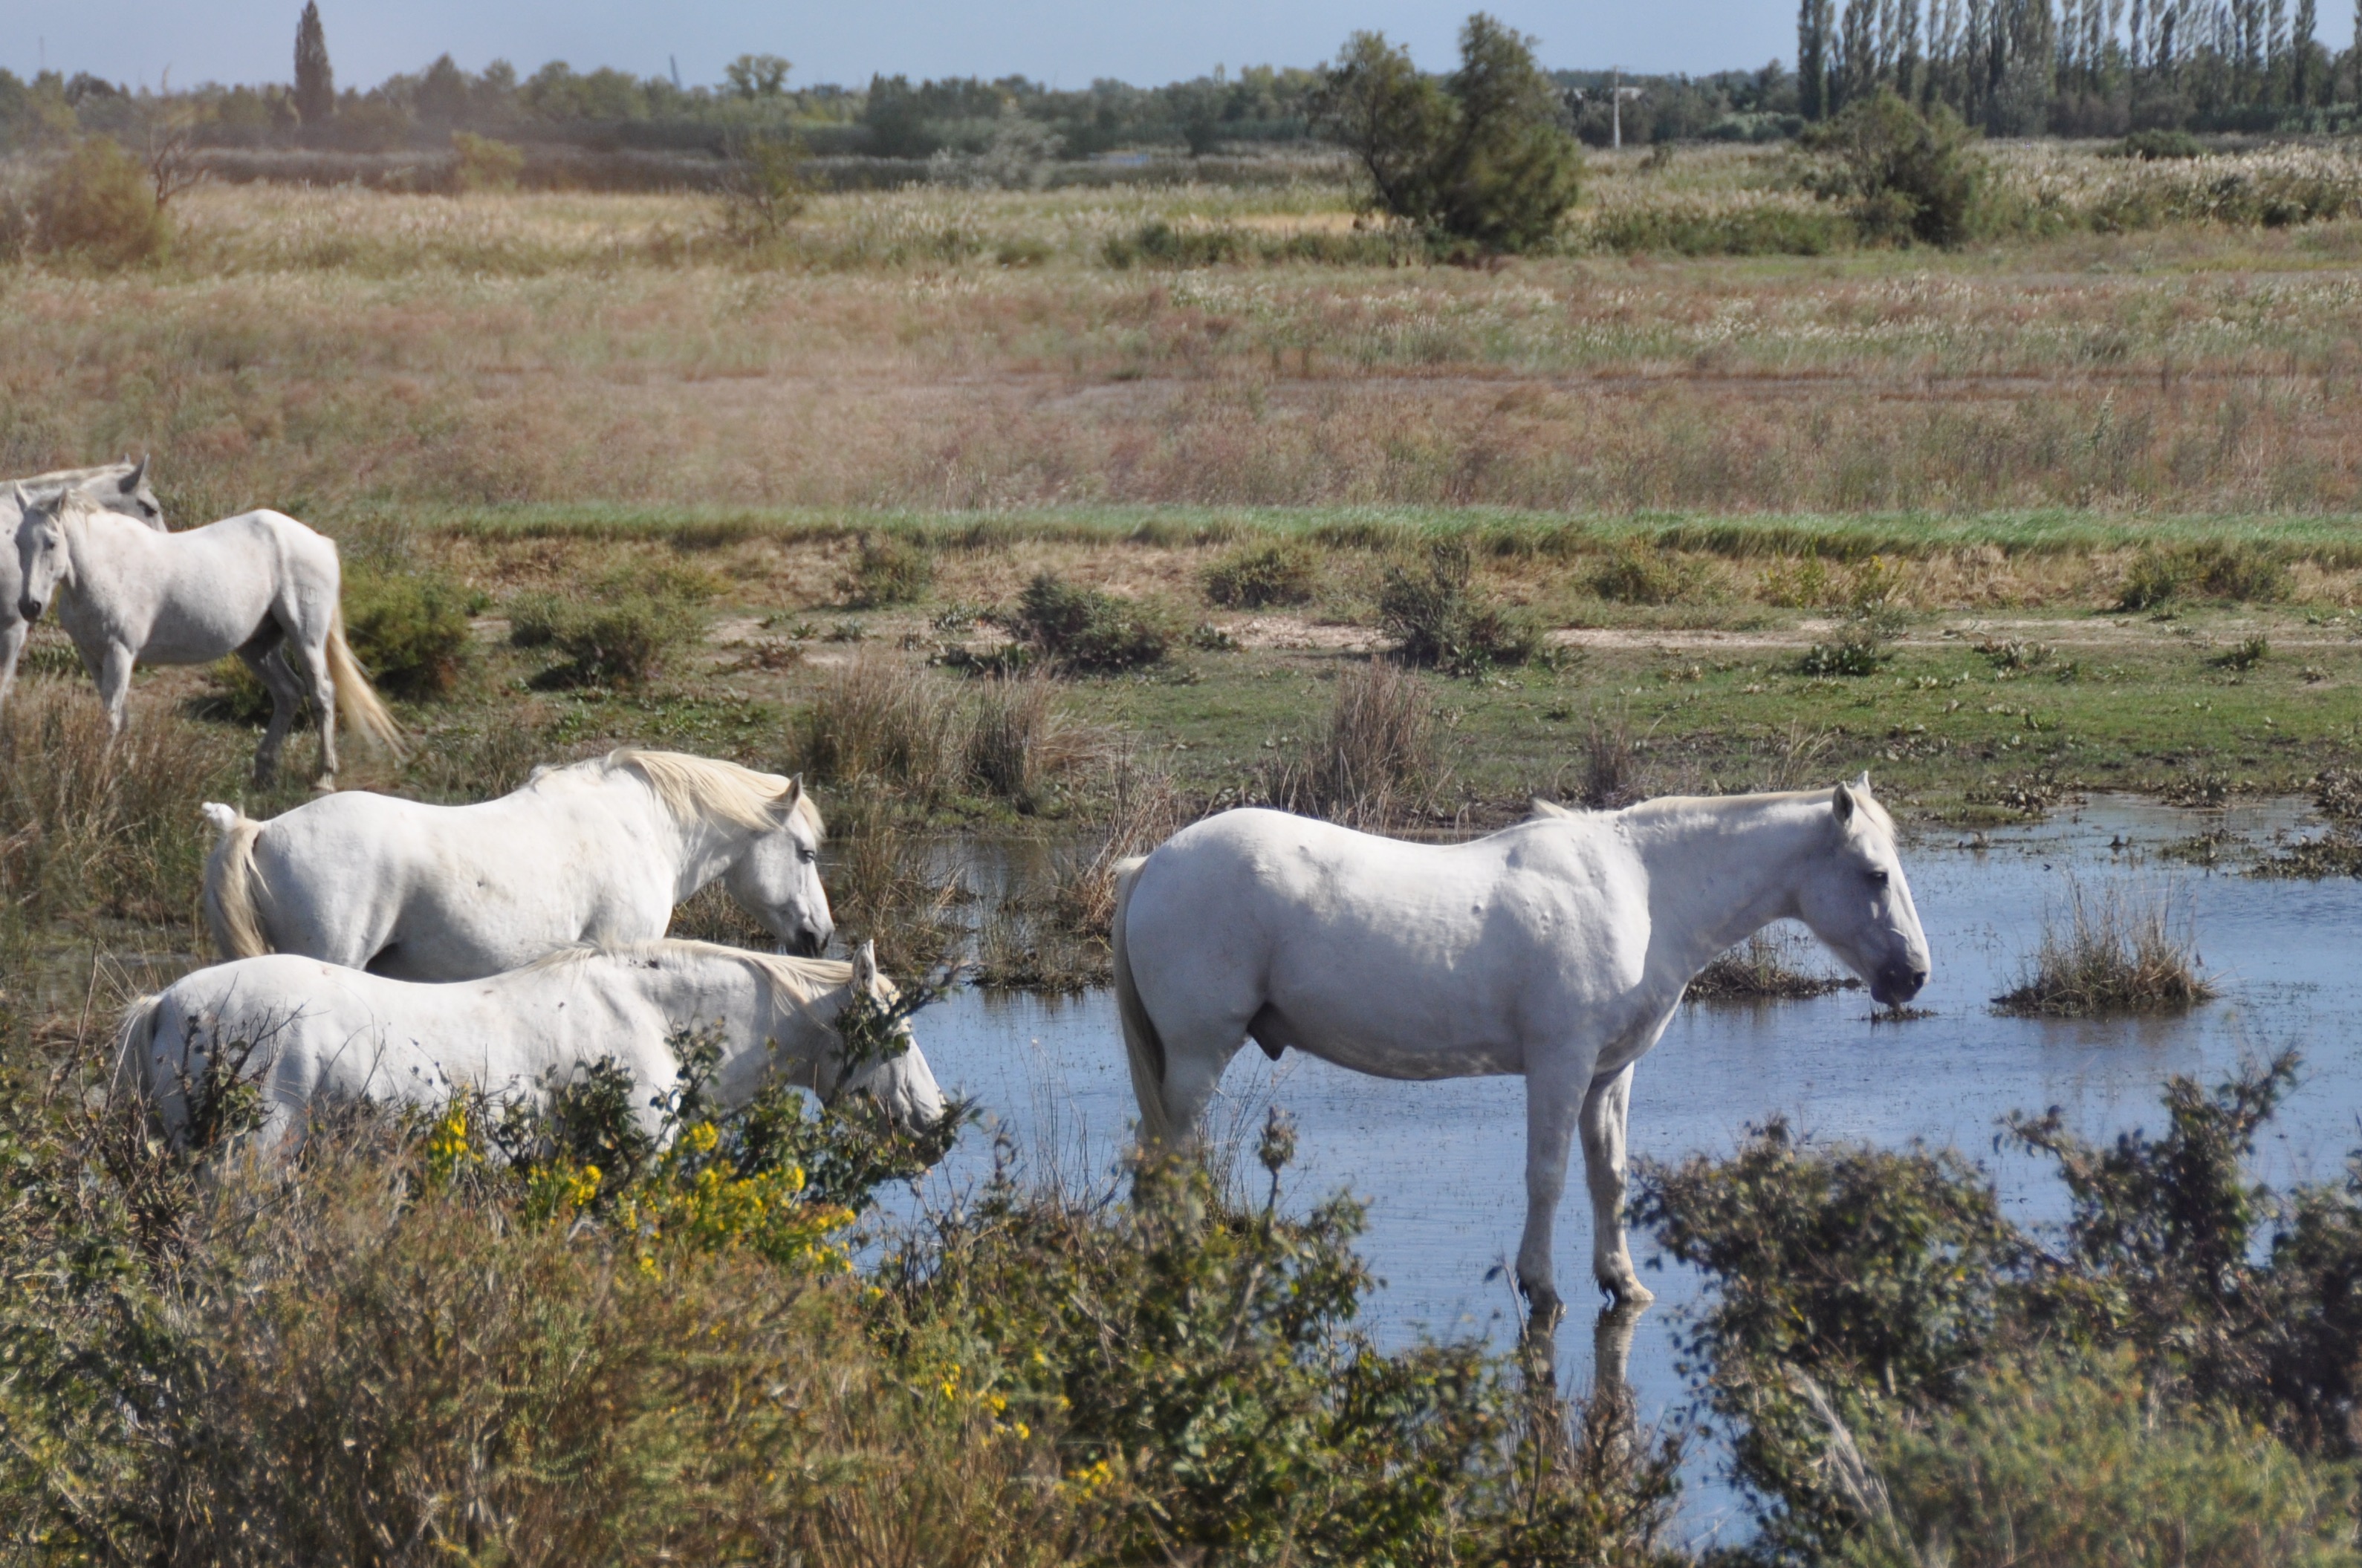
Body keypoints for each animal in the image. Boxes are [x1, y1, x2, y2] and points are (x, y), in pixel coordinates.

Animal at [12, 487, 402, 789]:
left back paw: (324, 777)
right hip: (256, 648)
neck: (106, 567)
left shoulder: (120, 653)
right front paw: (123, 767)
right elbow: (118, 716)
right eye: (17, 542)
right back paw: (264, 773)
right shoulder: (93, 657)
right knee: (288, 692)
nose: (29, 606)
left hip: (306, 638)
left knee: (322, 694)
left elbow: (110, 717)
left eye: (52, 542)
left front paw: (103, 773)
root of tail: (320, 542)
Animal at [1109, 779, 1930, 1322]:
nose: (1913, 974)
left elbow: (1608, 1177)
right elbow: (1548, 1177)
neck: (1640, 891)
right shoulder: (1559, 1064)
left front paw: (1622, 1281)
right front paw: (1541, 1286)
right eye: (1874, 873)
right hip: (1195, 1058)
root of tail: (1151, 865)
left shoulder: (1608, 1073)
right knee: (1173, 1160)